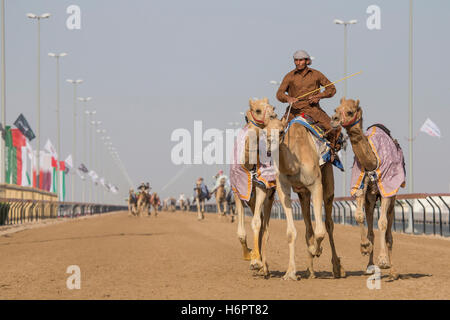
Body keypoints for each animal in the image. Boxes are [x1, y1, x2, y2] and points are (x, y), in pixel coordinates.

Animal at [232, 97, 278, 278]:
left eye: (272, 107)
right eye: (257, 110)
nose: (274, 116)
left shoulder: (261, 188)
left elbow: (257, 224)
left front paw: (256, 262)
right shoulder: (239, 191)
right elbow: (241, 233)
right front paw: (249, 255)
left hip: (270, 196)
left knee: (265, 227)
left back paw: (264, 267)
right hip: (251, 200)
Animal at [266, 112, 346, 280]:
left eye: (281, 131)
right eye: (264, 130)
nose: (270, 149)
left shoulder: (316, 185)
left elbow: (320, 231)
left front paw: (317, 250)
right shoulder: (284, 188)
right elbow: (291, 233)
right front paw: (290, 273)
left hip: (327, 180)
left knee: (329, 224)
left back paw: (337, 268)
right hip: (303, 194)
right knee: (308, 228)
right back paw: (310, 271)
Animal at [330, 97, 404, 280]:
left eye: (350, 112)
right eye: (336, 109)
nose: (334, 119)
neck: (372, 162)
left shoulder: (387, 189)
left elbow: (382, 223)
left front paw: (383, 261)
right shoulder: (361, 188)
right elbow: (358, 216)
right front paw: (364, 246)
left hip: (392, 198)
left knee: (389, 232)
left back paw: (393, 272)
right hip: (371, 199)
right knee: (371, 227)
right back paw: (370, 266)